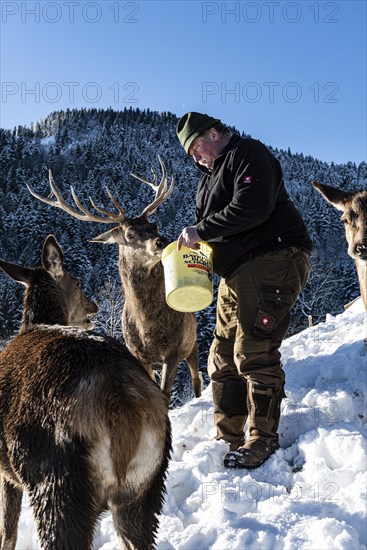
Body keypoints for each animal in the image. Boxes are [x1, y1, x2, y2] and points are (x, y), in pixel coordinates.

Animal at [0, 236, 172, 550]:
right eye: (78, 282)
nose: (93, 306)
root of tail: (122, 402)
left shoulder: (6, 470)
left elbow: (8, 532)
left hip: (59, 482)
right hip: (146, 486)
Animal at [27, 157, 203, 398]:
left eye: (154, 225)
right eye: (129, 234)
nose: (161, 241)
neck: (148, 327)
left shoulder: (173, 350)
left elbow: (165, 393)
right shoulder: (138, 354)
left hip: (191, 343)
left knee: (197, 380)